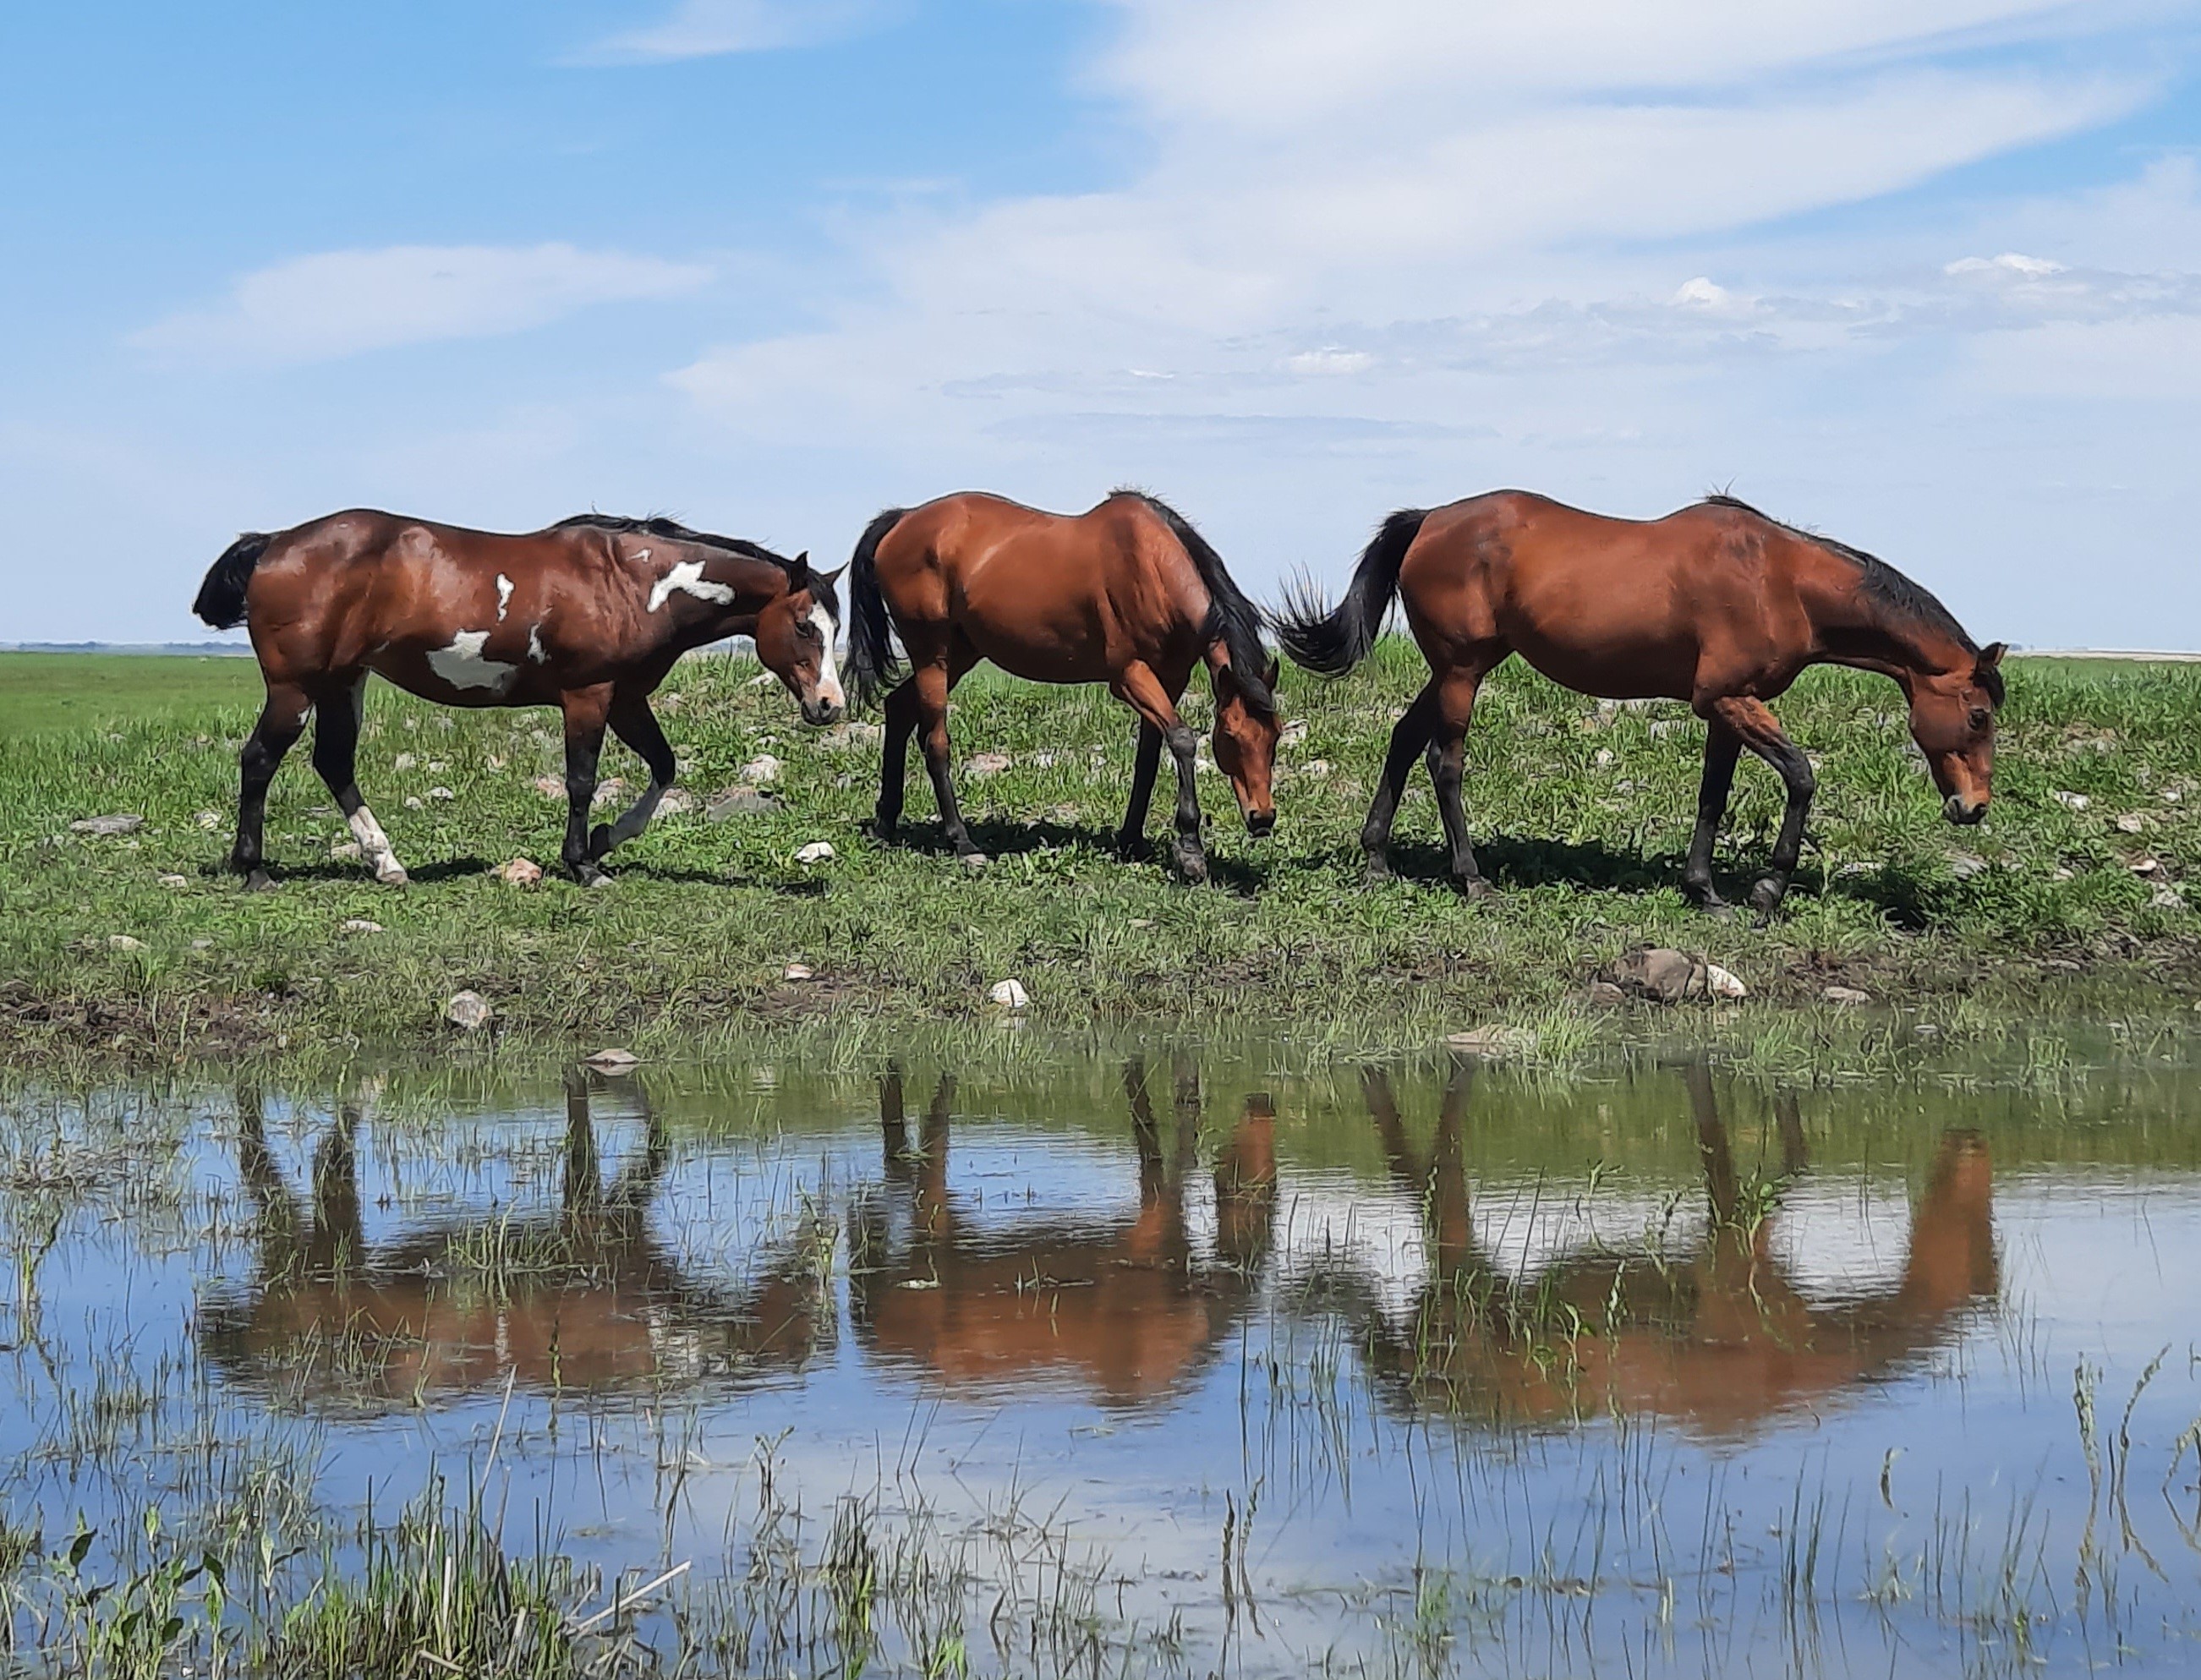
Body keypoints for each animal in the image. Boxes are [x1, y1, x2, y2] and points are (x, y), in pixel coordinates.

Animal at [191, 506, 840, 884]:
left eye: (836, 626)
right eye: (804, 626)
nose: (829, 706)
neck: (632, 584)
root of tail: (275, 542)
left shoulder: (627, 699)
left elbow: (662, 767)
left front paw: (605, 841)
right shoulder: (588, 695)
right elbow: (582, 780)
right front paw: (583, 863)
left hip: (342, 681)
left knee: (333, 762)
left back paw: (387, 863)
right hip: (295, 687)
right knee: (260, 759)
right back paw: (252, 870)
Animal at [845, 489, 1285, 884]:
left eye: (1275, 736)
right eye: (1230, 736)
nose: (1262, 817)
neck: (1150, 566)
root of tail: (902, 519)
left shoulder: (1171, 679)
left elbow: (1148, 756)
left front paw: (1131, 840)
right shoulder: (1129, 676)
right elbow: (1181, 740)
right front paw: (1190, 850)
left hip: (959, 653)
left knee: (898, 709)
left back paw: (885, 824)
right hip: (931, 656)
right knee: (935, 742)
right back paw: (963, 843)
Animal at [1276, 493, 2016, 911]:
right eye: (1977, 715)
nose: (1973, 806)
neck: (1780, 579)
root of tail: (1428, 521)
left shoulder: (1728, 706)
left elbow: (1713, 795)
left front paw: (1705, 890)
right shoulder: (1726, 698)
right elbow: (1802, 777)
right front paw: (1766, 890)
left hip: (1460, 665)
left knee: (1403, 739)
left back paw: (1376, 859)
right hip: (1461, 669)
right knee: (1444, 762)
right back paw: (1473, 879)